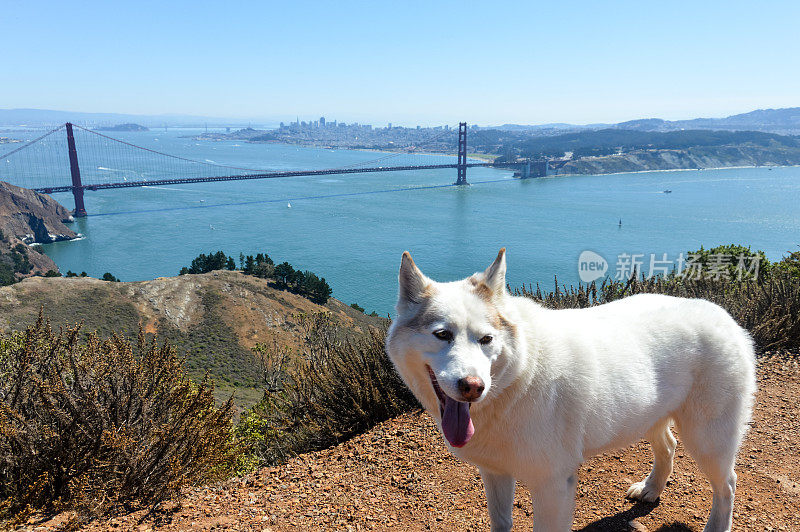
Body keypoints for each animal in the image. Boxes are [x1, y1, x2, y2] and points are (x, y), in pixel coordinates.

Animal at [386, 249, 756, 532]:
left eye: (486, 339)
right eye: (442, 335)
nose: (473, 387)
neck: (516, 381)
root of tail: (724, 316)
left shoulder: (552, 486)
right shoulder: (495, 473)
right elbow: (501, 523)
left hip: (708, 440)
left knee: (728, 485)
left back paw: (716, 524)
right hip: (649, 417)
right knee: (668, 445)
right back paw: (651, 488)